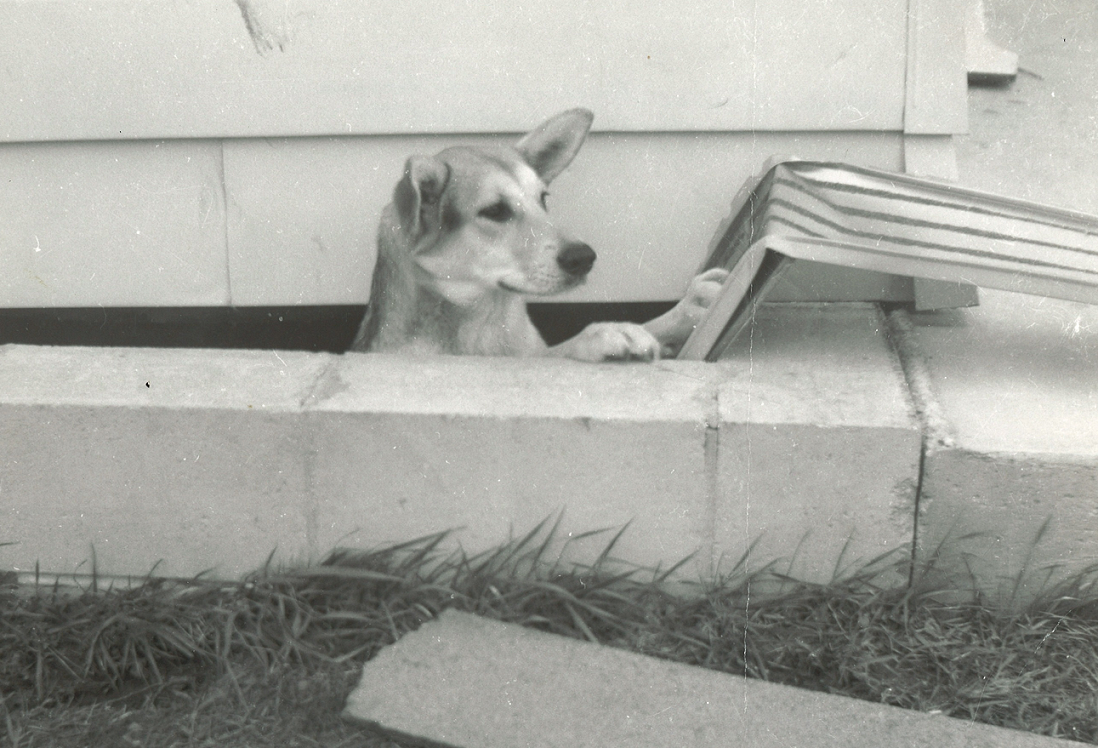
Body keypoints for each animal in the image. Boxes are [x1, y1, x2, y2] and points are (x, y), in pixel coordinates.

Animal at [351, 106, 729, 360]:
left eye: (543, 199)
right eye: (495, 211)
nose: (584, 257)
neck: (492, 315)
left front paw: (689, 306)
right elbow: (552, 354)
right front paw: (603, 333)